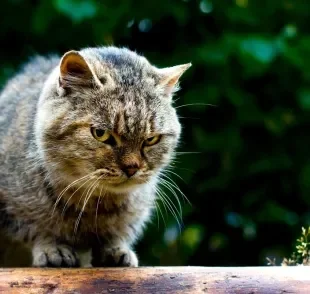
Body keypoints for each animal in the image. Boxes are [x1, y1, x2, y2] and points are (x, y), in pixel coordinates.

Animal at [0, 45, 191, 266]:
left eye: (151, 139)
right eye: (101, 134)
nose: (132, 167)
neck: (94, 203)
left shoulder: (135, 213)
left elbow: (118, 233)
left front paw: (115, 249)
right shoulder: (15, 213)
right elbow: (37, 229)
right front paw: (52, 248)